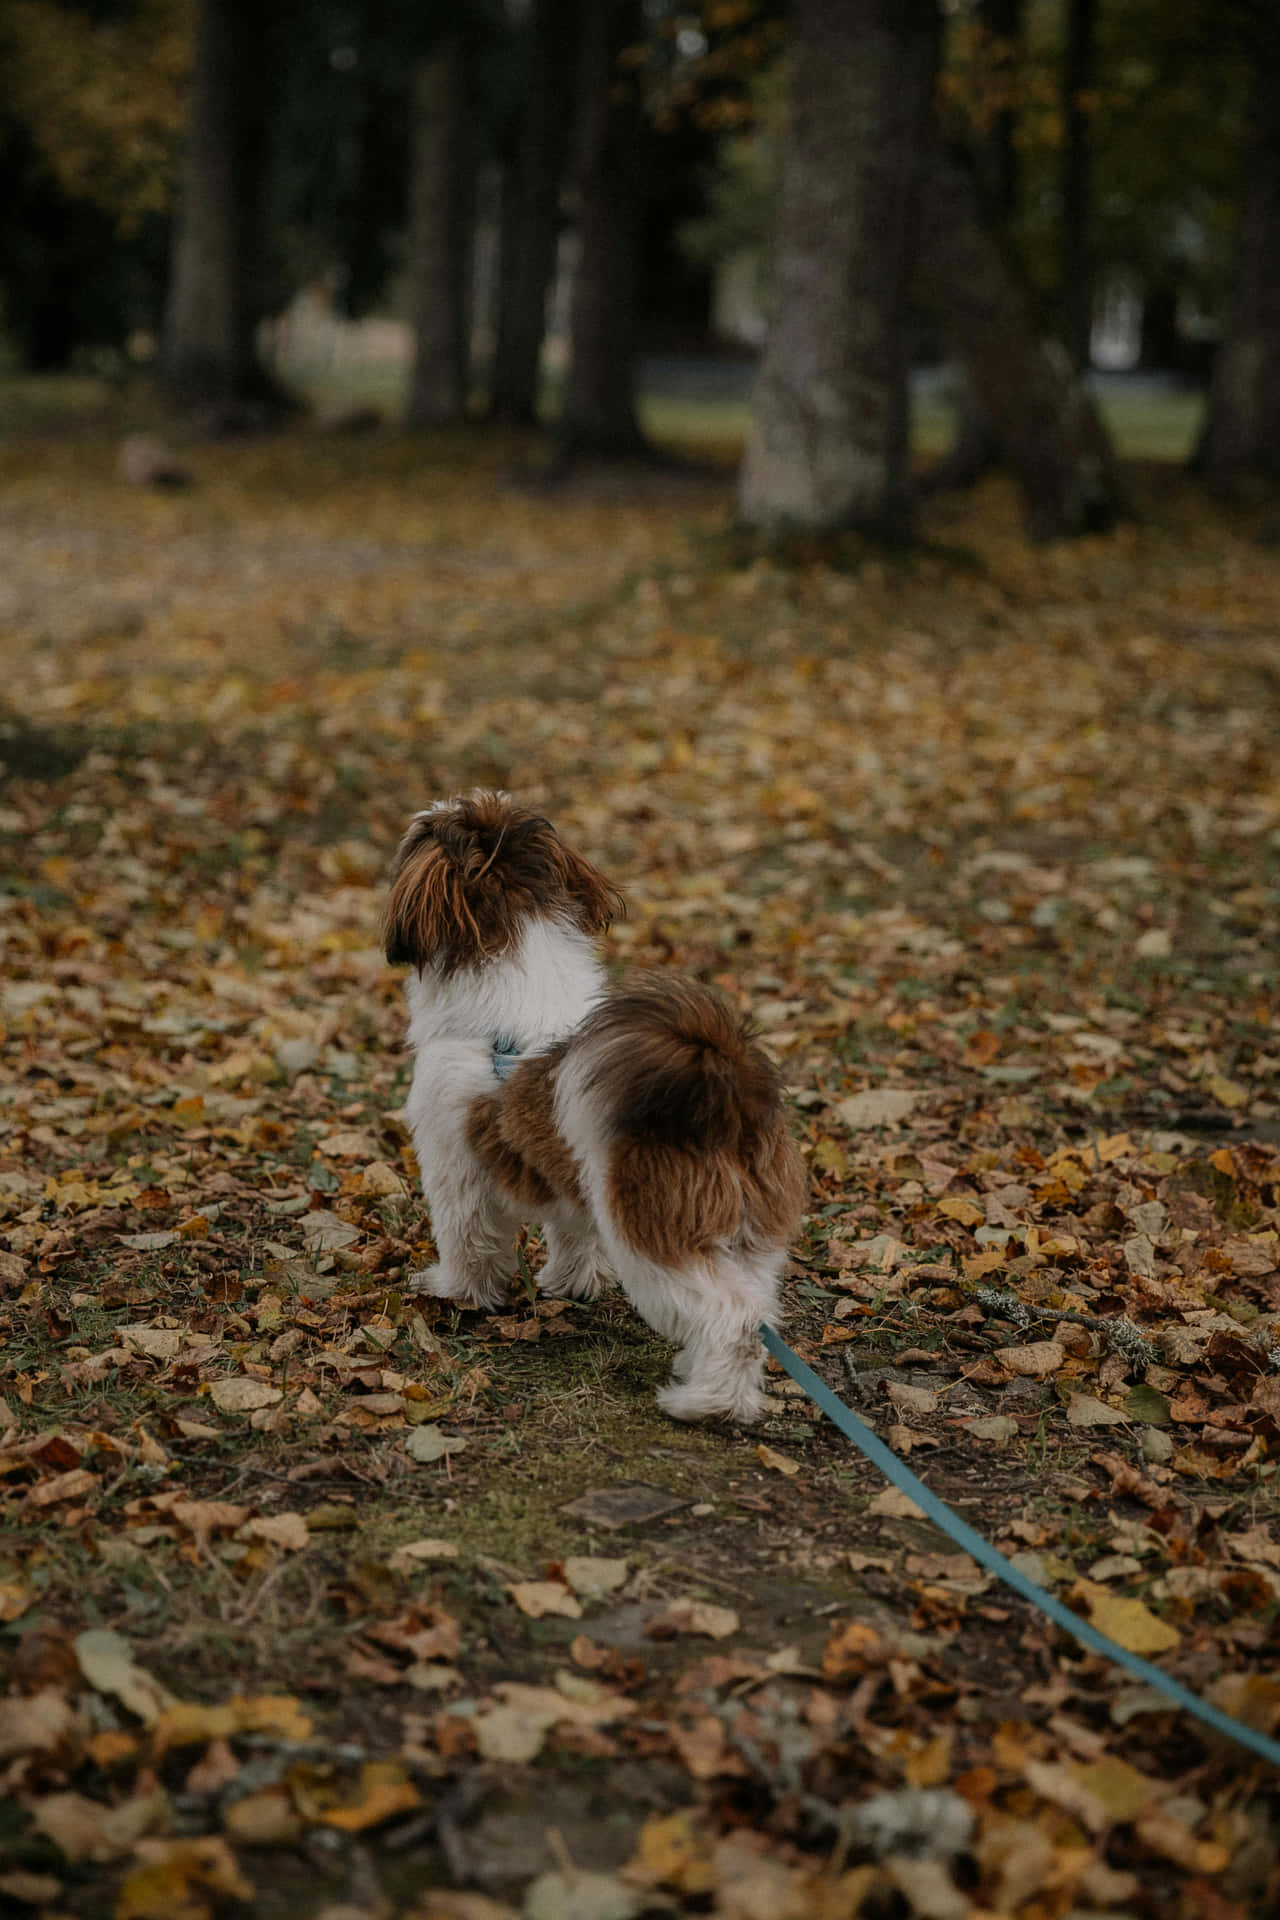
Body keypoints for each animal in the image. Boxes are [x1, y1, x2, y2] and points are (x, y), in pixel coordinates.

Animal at [379, 794, 805, 1428]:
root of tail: (719, 1087)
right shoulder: (565, 1181)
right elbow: (573, 1233)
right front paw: (572, 1282)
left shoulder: (455, 1165)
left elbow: (466, 1235)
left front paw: (456, 1291)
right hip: (753, 1235)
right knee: (756, 1309)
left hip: (654, 1238)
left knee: (730, 1317)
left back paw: (706, 1403)